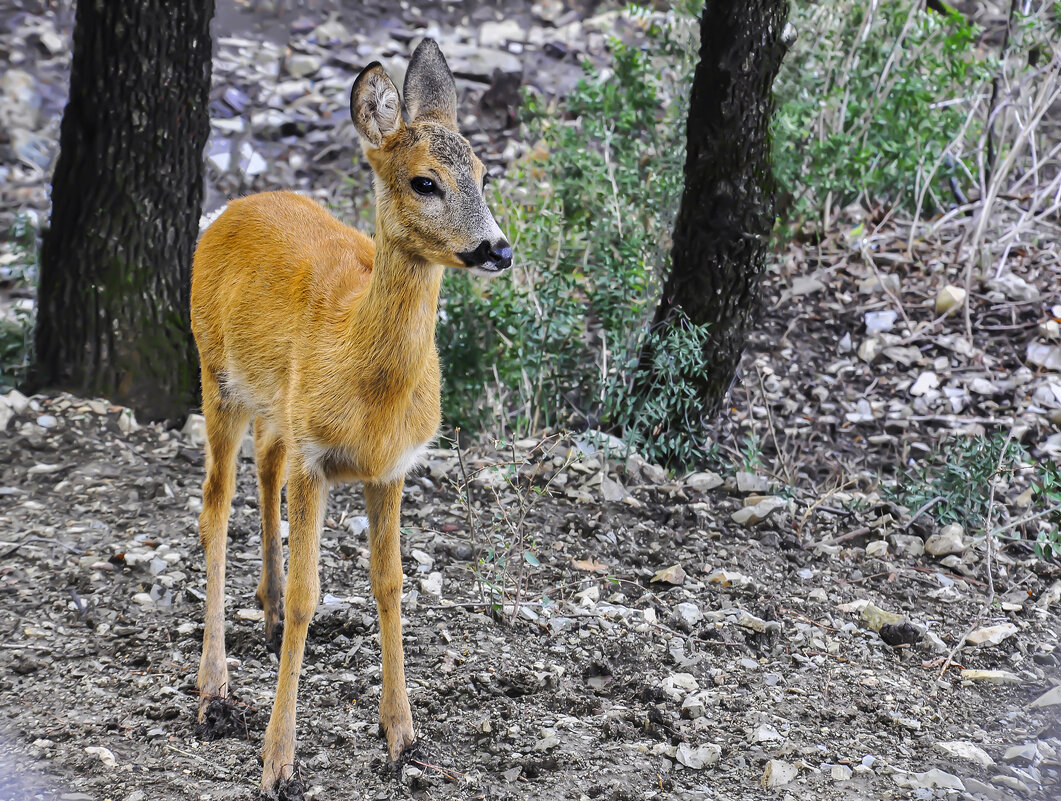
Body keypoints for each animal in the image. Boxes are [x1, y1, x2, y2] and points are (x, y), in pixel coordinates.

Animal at [189, 39, 513, 797]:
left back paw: (267, 611)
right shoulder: (315, 457)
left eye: (485, 173)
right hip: (216, 375)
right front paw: (277, 760)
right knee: (213, 506)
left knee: (263, 471)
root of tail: (233, 206)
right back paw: (213, 685)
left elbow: (389, 582)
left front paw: (401, 736)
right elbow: (314, 592)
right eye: (424, 182)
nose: (498, 249)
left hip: (274, 407)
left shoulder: (392, 467)